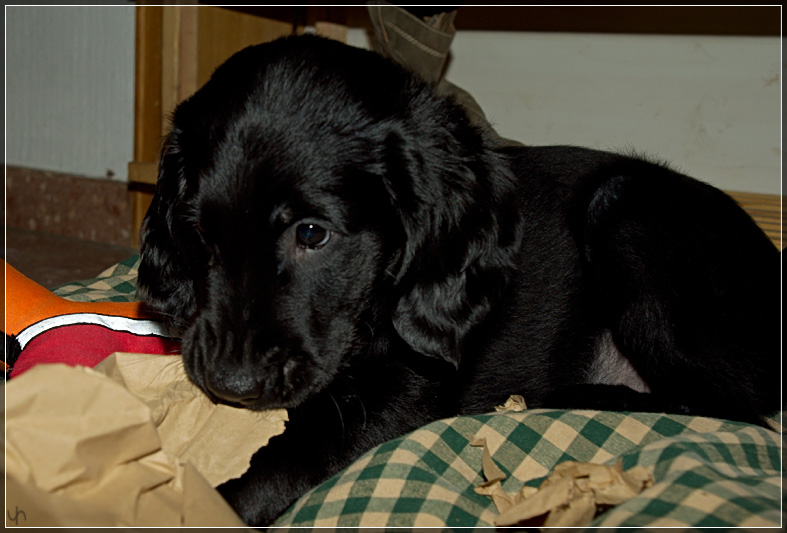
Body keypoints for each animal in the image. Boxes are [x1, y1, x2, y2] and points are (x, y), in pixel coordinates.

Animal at [137, 35, 780, 524]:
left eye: (313, 234)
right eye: (197, 230)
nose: (230, 383)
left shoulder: (404, 392)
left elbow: (283, 460)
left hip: (624, 209)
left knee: (735, 408)